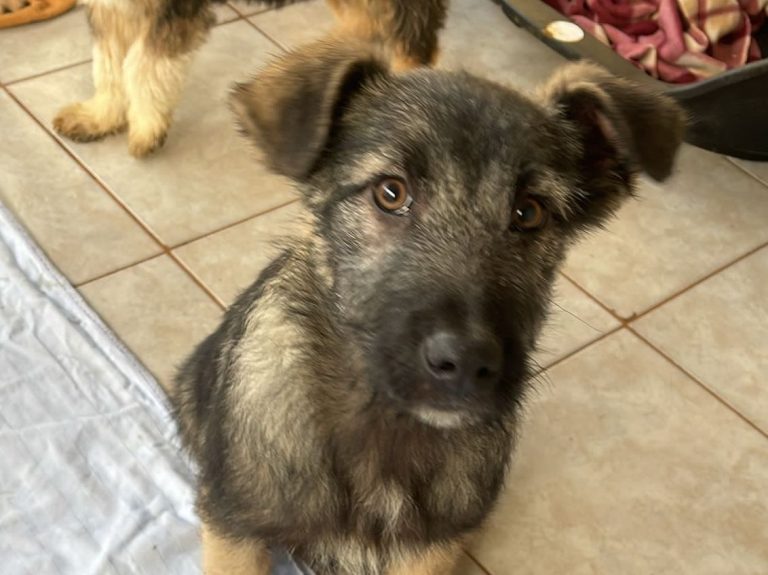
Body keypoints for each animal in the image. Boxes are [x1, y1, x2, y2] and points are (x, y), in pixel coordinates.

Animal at [52, 0, 446, 157]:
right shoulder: (114, 10)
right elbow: (108, 63)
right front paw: (100, 116)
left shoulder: (171, 13)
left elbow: (144, 65)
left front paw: (147, 128)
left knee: (414, 32)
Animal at [171, 39, 685, 575]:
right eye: (390, 192)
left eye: (529, 212)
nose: (466, 363)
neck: (382, 424)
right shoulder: (234, 527)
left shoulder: (433, 546)